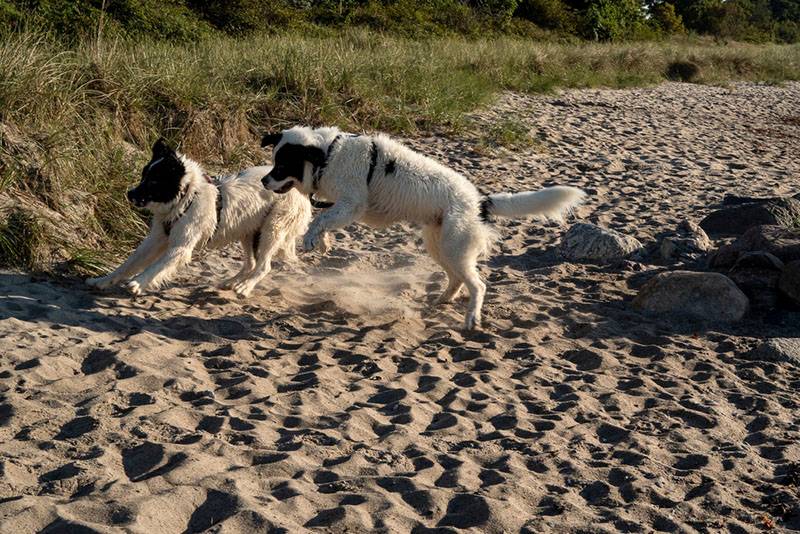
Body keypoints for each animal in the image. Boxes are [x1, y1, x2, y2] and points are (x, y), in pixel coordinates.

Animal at [86, 139, 310, 298]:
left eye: (154, 181)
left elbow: (156, 266)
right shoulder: (156, 239)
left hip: (272, 229)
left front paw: (138, 283)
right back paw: (231, 283)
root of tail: (301, 190)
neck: (186, 197)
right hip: (248, 231)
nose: (129, 194)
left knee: (264, 266)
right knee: (251, 264)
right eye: (143, 176)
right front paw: (103, 281)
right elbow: (128, 263)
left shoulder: (181, 246)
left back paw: (244, 288)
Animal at [260, 126, 584, 330]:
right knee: (457, 278)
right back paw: (444, 299)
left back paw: (471, 318)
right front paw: (324, 242)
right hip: (440, 245)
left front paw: (313, 239)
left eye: (282, 166)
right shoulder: (344, 206)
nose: (264, 181)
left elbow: (321, 219)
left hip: (454, 246)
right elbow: (325, 221)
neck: (328, 154)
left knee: (477, 285)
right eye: (273, 162)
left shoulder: (352, 203)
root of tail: (479, 201)